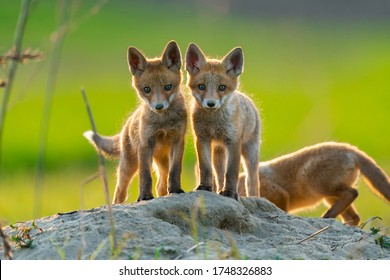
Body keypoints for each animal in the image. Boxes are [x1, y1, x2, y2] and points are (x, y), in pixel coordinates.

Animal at [85, 41, 187, 203]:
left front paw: (176, 190)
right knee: (119, 192)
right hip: (128, 166)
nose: (158, 106)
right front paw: (144, 196)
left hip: (162, 163)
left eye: (168, 87)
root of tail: (126, 125)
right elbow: (145, 176)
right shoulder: (145, 144)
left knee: (161, 185)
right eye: (147, 89)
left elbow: (175, 171)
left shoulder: (178, 141)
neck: (163, 122)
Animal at [186, 43, 262, 199]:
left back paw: (253, 197)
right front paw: (205, 187)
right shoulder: (202, 138)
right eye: (201, 86)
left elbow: (232, 172)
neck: (214, 122)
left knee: (252, 180)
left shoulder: (233, 141)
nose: (211, 104)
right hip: (218, 153)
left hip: (250, 152)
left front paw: (230, 193)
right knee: (219, 175)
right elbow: (205, 168)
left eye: (222, 87)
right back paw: (218, 189)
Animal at [238, 142, 390, 225]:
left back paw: (326, 217)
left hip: (318, 185)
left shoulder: (280, 194)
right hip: (329, 197)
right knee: (354, 216)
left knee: (352, 193)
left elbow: (282, 210)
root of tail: (351, 149)